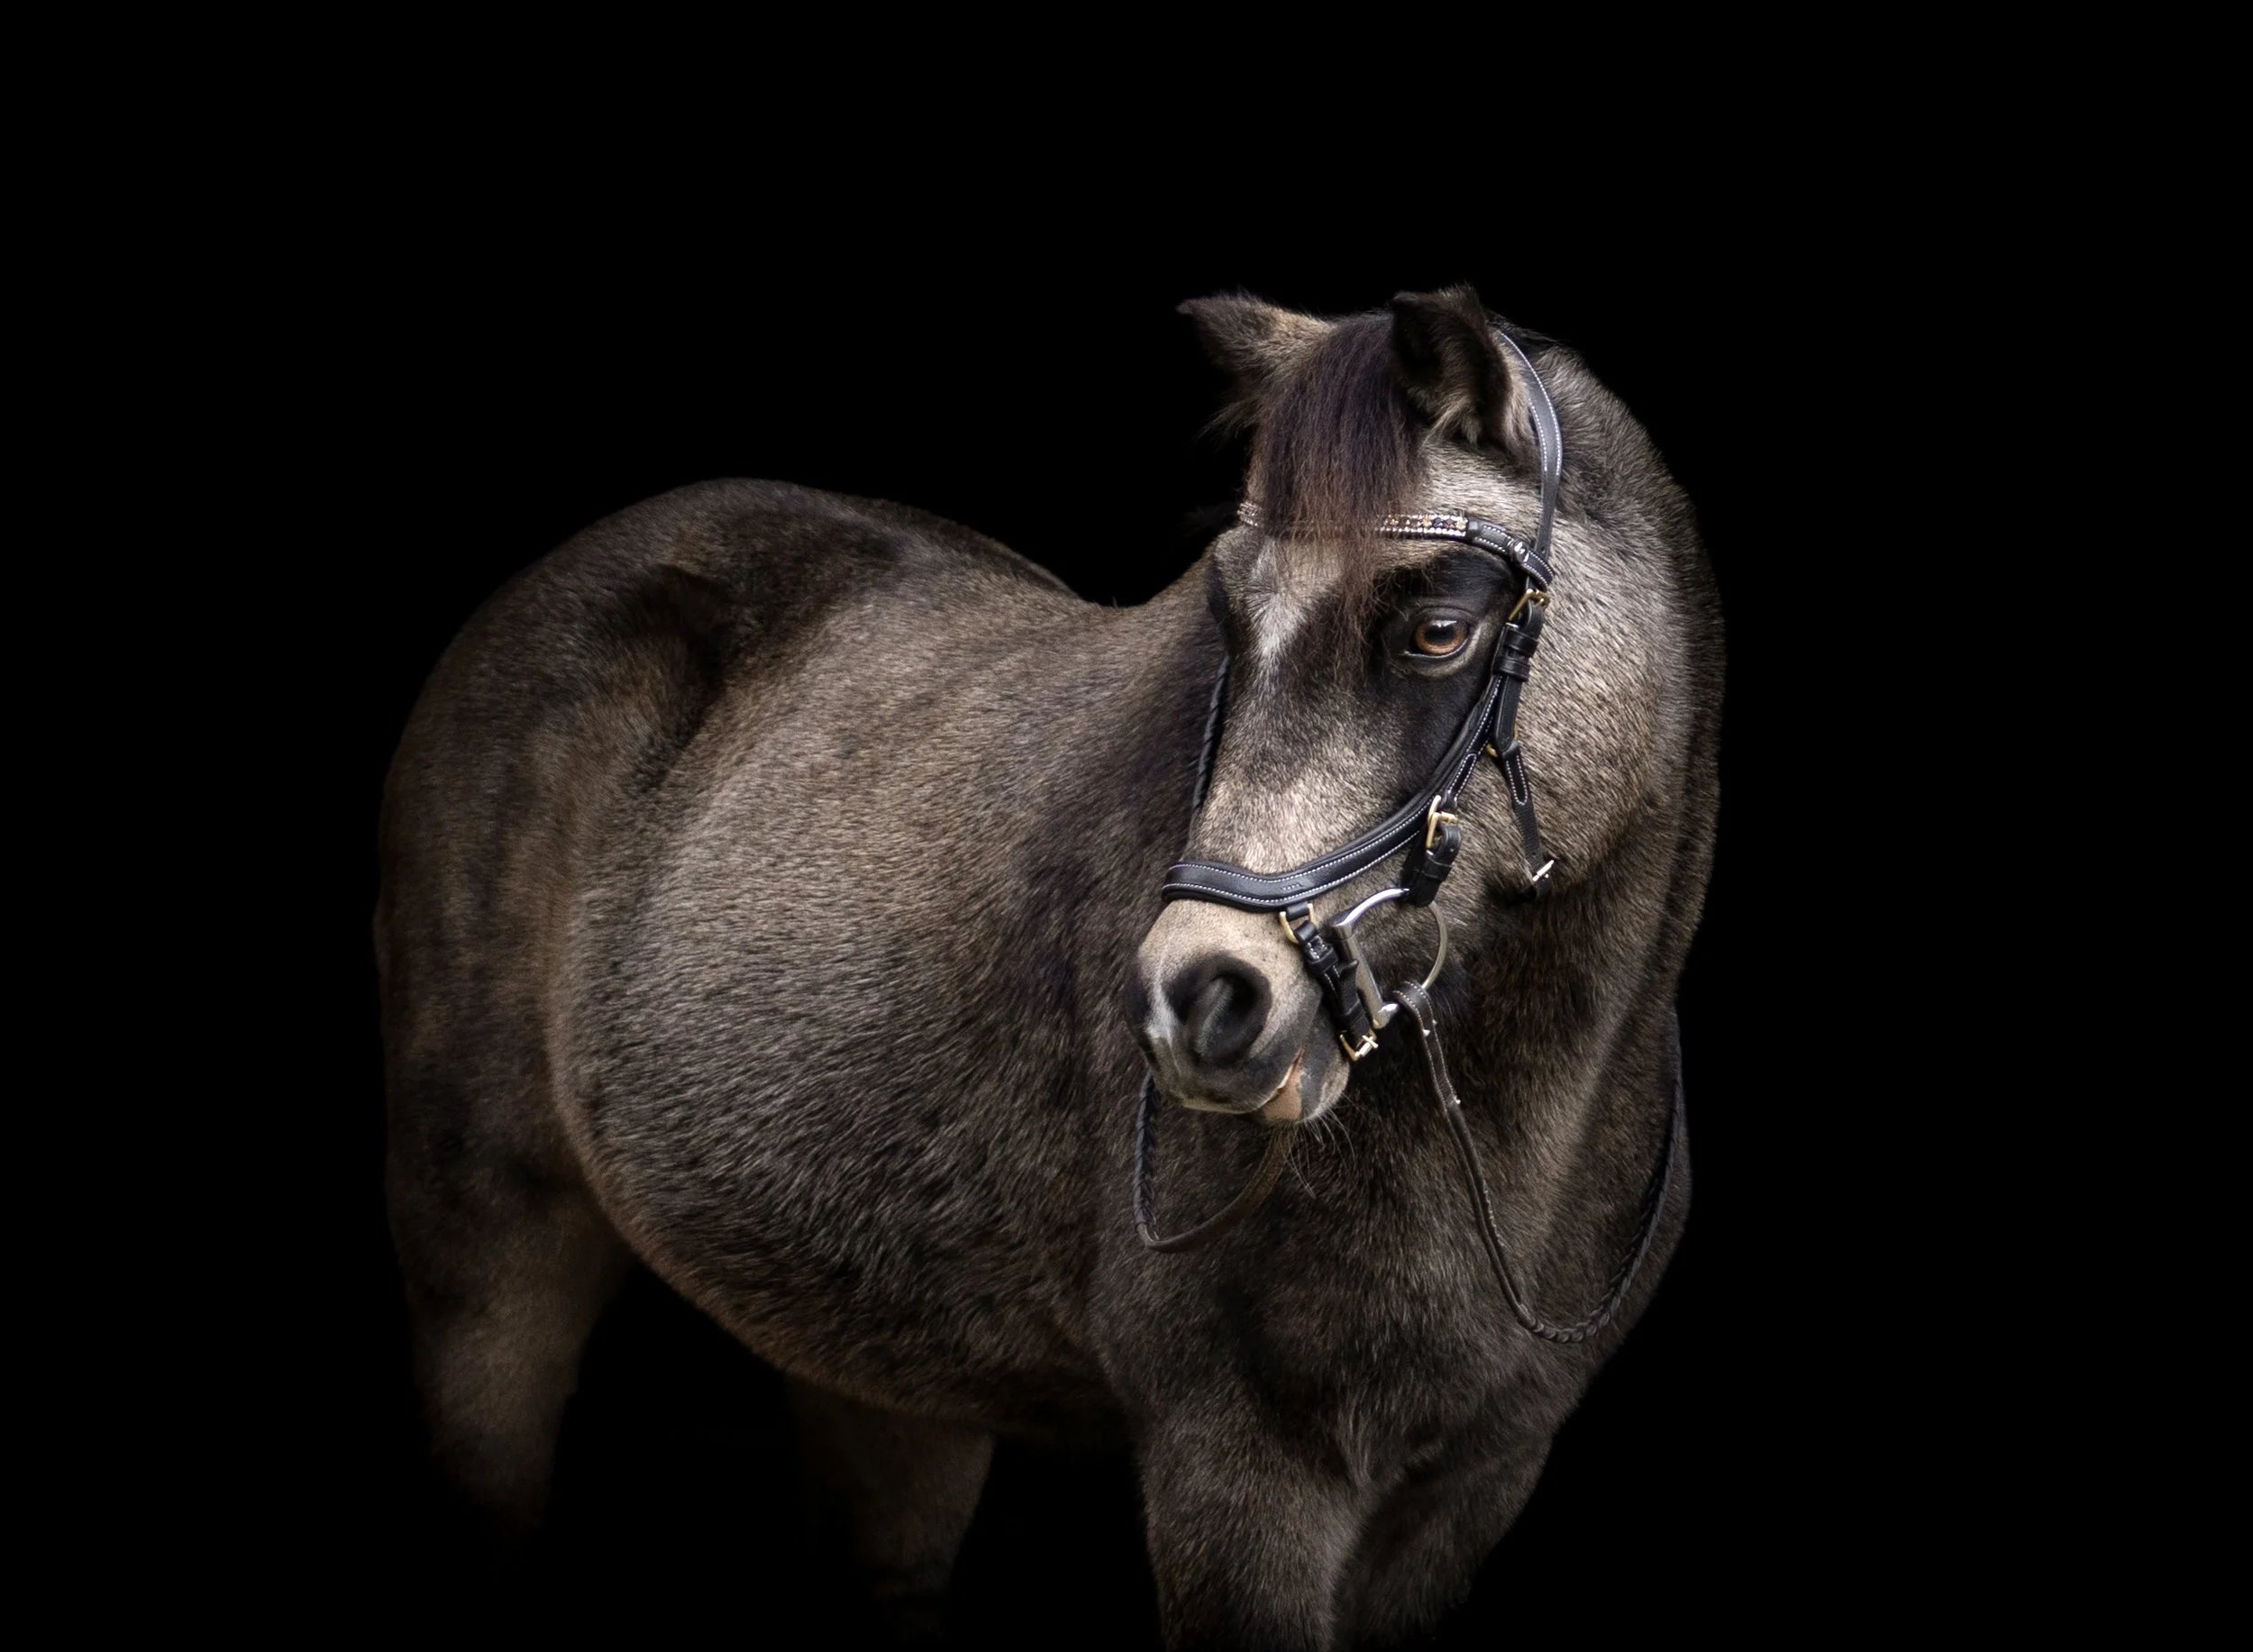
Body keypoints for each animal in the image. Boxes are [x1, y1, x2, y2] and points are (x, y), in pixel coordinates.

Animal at [377, 284, 1722, 1647]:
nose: (1199, 1000)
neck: (1516, 1140)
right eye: (1227, 621)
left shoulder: (1469, 1494)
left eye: (1439, 629)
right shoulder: (1239, 1478)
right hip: (484, 1268)